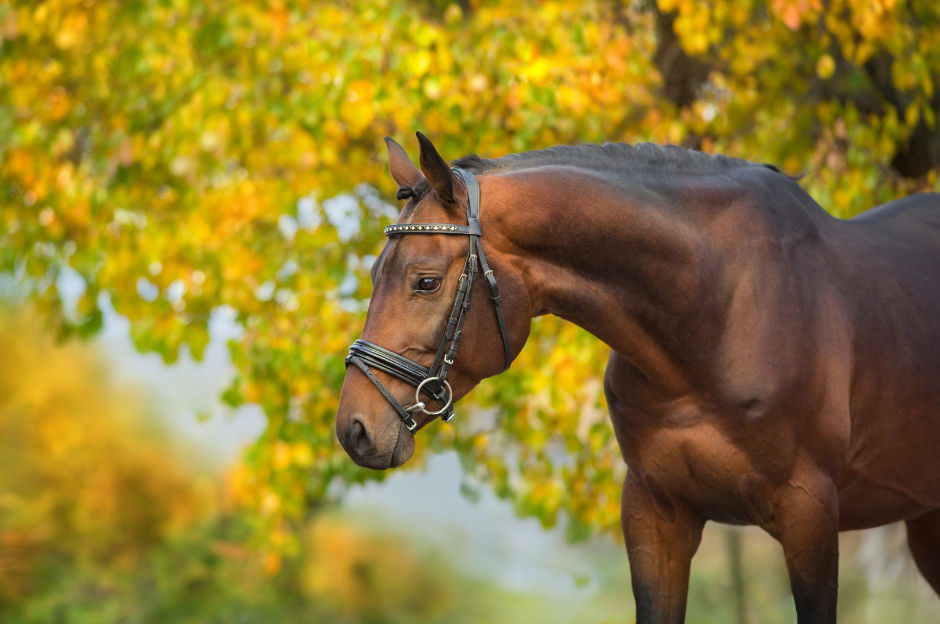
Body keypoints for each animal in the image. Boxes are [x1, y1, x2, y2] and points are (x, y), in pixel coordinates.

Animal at [335, 132, 940, 623]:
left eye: (426, 282)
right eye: (374, 273)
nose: (354, 428)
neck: (716, 313)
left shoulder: (809, 514)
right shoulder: (654, 515)